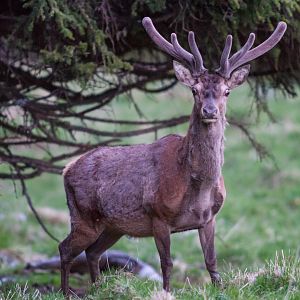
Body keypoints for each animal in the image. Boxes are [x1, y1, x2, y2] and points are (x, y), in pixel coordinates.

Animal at [58, 17, 286, 296]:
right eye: (194, 90)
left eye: (227, 91)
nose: (209, 111)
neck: (197, 186)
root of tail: (67, 169)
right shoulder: (159, 216)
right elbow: (166, 263)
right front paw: (166, 292)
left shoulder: (208, 218)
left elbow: (211, 261)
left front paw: (220, 289)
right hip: (83, 216)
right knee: (65, 248)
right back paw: (66, 292)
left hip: (113, 225)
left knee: (92, 252)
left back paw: (98, 288)